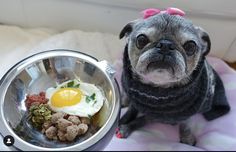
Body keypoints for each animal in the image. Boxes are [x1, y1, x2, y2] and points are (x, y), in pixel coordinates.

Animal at [116, 8, 230, 145]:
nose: (165, 45)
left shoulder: (184, 114)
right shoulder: (136, 103)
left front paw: (187, 138)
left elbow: (185, 125)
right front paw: (123, 121)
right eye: (141, 40)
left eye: (190, 46)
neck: (158, 89)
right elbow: (131, 112)